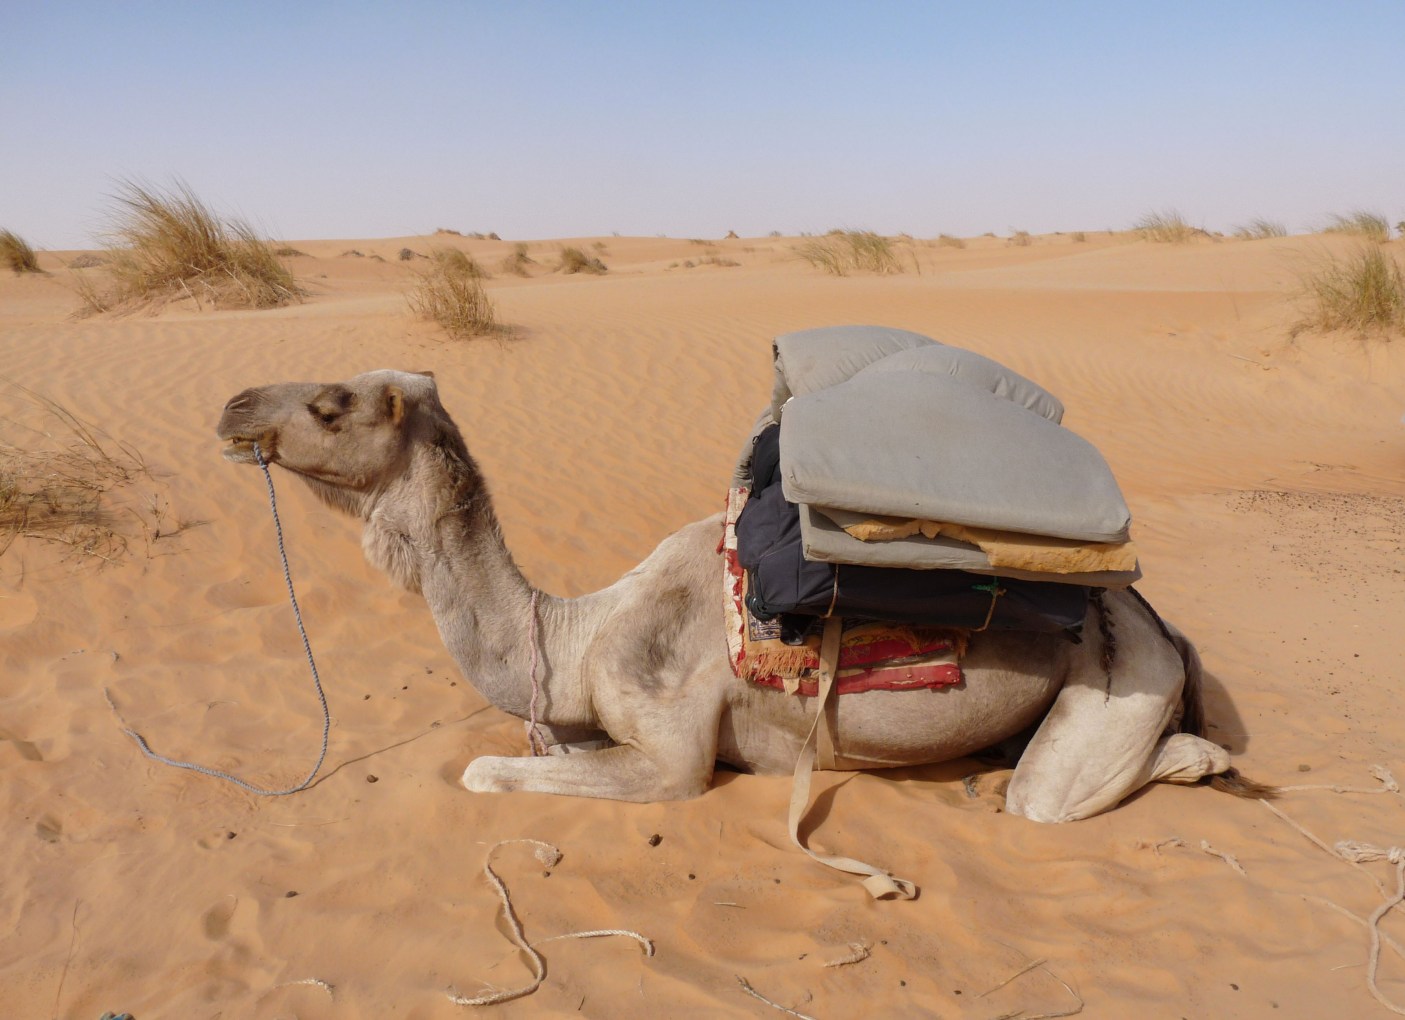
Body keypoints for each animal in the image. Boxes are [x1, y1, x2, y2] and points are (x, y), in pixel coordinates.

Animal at [217, 369, 1262, 828]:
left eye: (331, 405)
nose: (231, 405)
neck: (577, 630)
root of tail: (1150, 618)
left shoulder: (673, 752)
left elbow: (482, 772)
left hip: (1120, 678)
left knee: (1058, 794)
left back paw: (1193, 763)